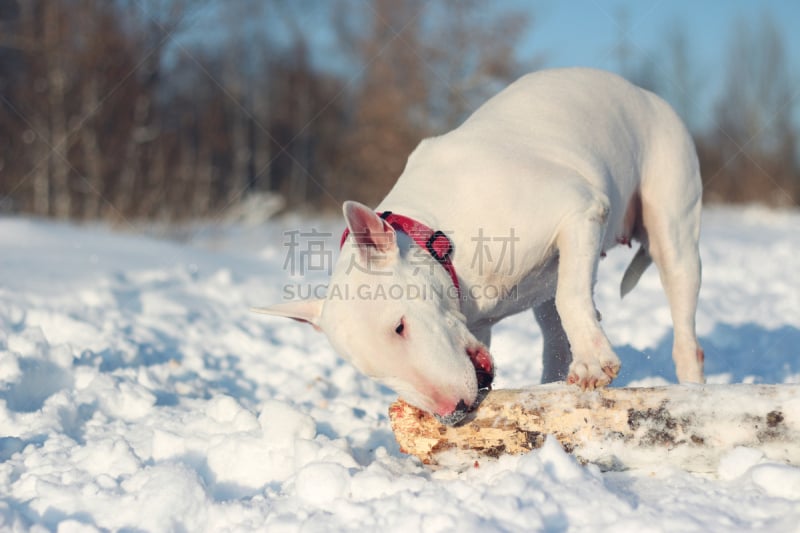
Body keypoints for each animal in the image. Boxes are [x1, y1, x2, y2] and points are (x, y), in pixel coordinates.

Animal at [255, 67, 700, 424]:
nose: (453, 412)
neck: (443, 240)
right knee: (554, 327)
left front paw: (593, 362)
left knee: (680, 327)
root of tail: (642, 92)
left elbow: (571, 297)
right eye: (370, 372)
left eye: (399, 326)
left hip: (672, 226)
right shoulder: (480, 325)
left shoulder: (581, 209)